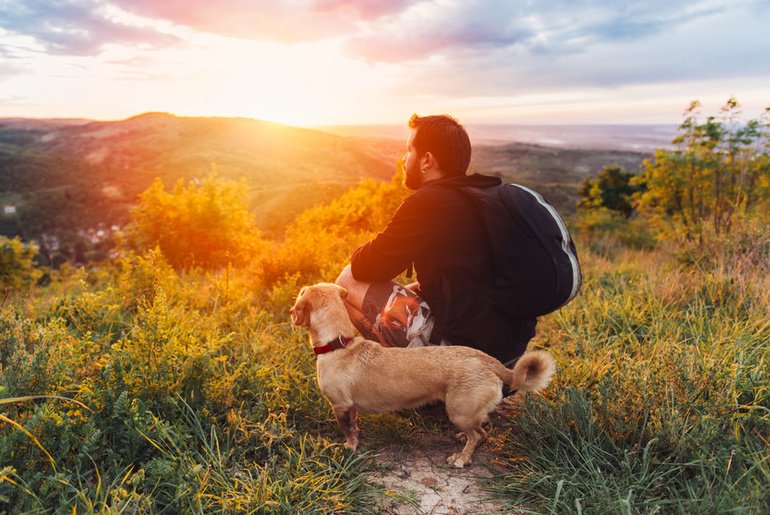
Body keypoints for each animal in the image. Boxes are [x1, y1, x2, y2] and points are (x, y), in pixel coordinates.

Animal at [292, 282, 556, 468]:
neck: (339, 344)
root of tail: (487, 360)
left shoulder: (340, 406)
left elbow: (347, 430)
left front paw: (349, 447)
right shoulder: (350, 407)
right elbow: (355, 426)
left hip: (458, 411)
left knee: (477, 434)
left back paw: (462, 459)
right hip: (466, 412)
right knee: (481, 430)